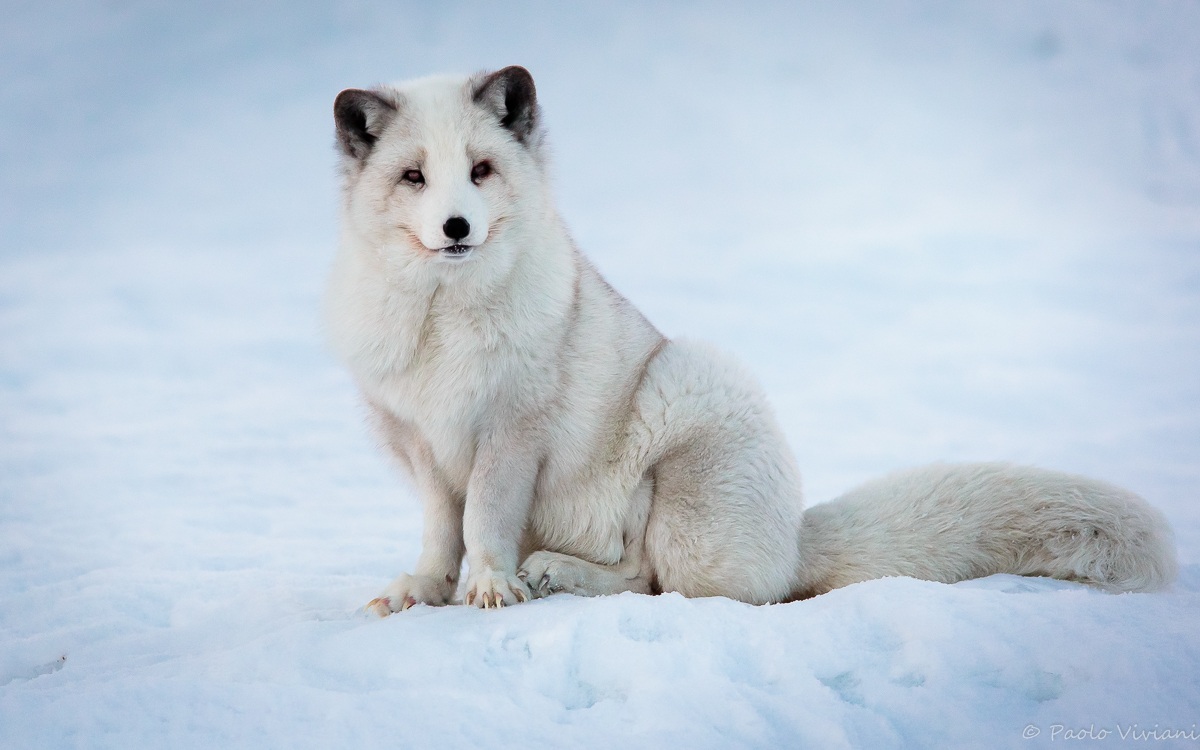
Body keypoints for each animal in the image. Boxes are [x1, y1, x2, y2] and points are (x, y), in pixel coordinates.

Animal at [324, 66, 1176, 614]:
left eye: (480, 169)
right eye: (414, 176)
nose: (456, 227)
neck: (444, 321)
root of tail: (793, 539)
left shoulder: (514, 432)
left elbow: (486, 523)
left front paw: (490, 588)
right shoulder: (418, 441)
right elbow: (444, 531)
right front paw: (426, 589)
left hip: (684, 412)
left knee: (655, 580)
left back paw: (555, 574)